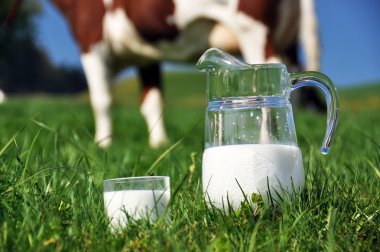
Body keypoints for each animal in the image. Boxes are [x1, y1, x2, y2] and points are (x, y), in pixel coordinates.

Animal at [52, 0, 320, 149]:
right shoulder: (146, 55)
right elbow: (152, 102)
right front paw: (158, 144)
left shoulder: (90, 40)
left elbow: (102, 100)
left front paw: (103, 144)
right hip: (287, 38)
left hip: (252, 28)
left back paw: (267, 139)